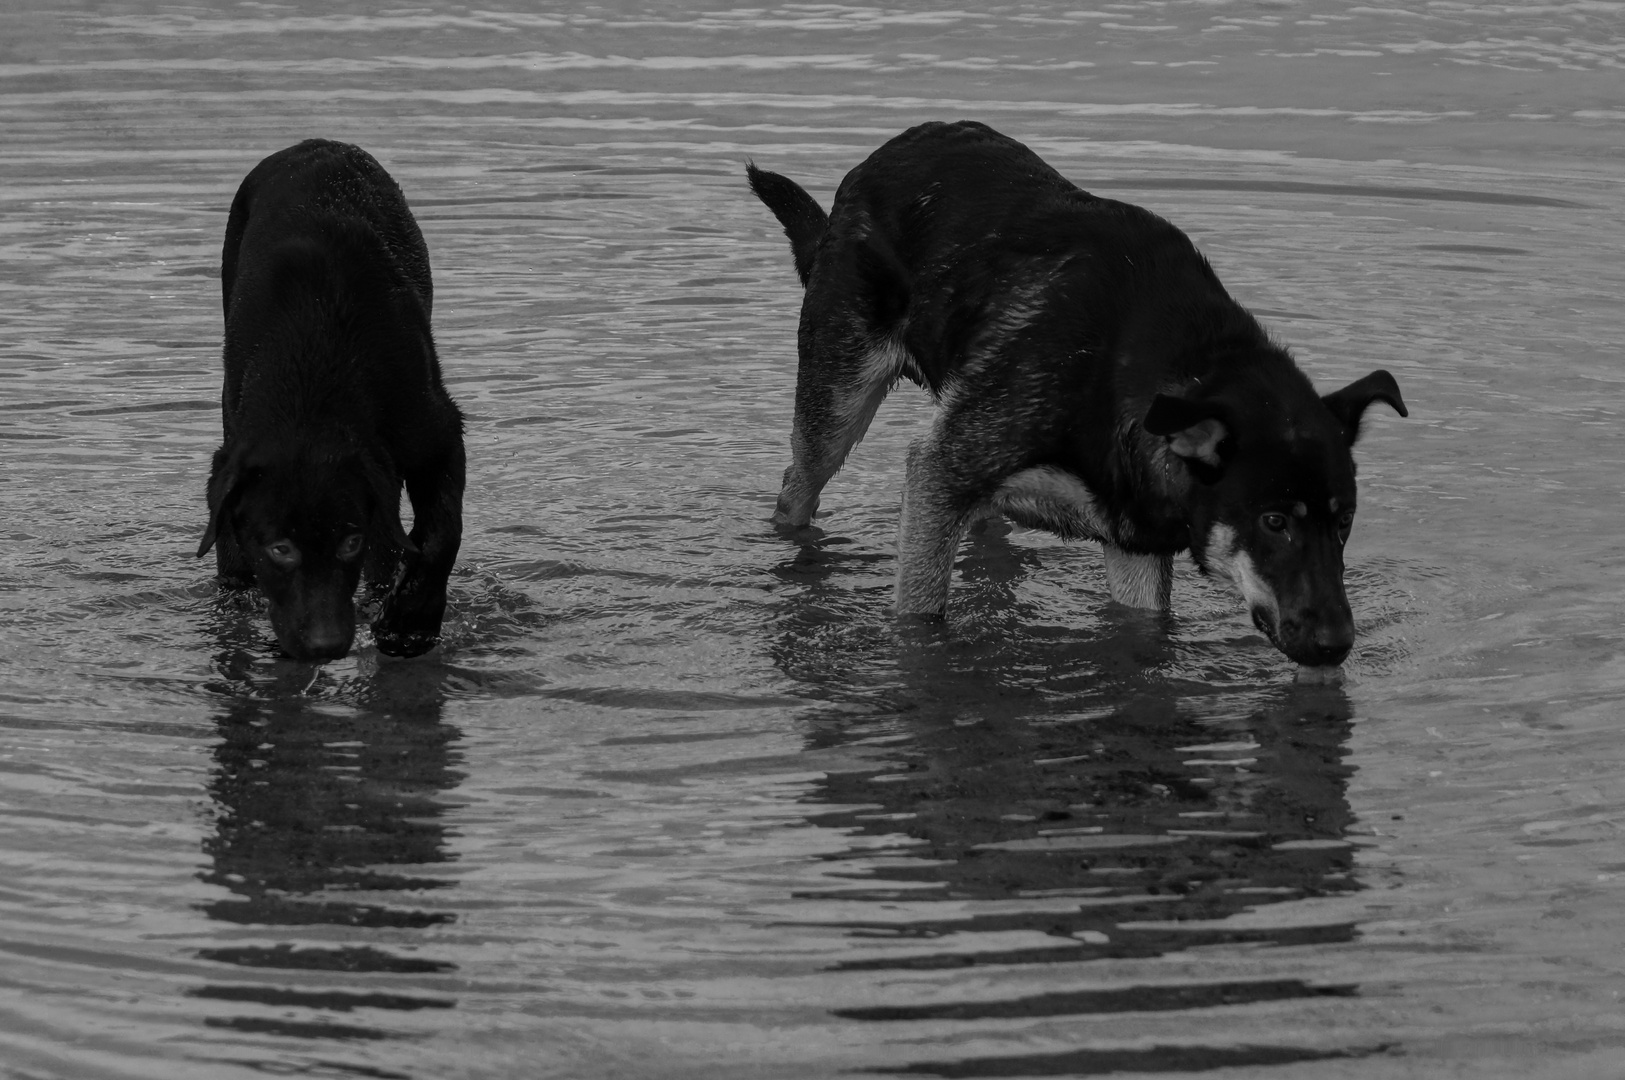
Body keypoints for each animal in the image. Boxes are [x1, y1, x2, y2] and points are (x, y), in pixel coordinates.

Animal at [198, 138, 464, 662]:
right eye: (279, 548)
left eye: (348, 543)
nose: (326, 646)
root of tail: (314, 144)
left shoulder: (438, 432)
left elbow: (442, 534)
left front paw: (410, 624)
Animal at [754, 121, 1404, 669]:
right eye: (1274, 522)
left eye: (1345, 522)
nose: (1338, 646)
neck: (1137, 370)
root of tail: (866, 170)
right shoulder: (937, 473)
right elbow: (920, 618)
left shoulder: (1132, 544)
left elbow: (1142, 630)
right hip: (837, 409)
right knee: (796, 489)